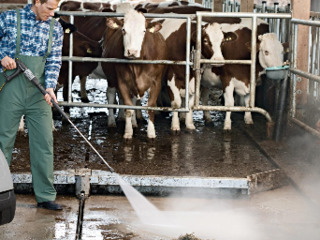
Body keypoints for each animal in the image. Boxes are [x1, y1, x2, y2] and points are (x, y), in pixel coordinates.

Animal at [101, 8, 169, 139]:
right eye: (123, 30)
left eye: (144, 31)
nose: (132, 51)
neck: (136, 66)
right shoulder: (122, 81)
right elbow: (128, 107)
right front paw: (128, 132)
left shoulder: (156, 82)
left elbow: (150, 107)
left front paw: (151, 133)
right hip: (111, 78)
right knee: (110, 95)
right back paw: (111, 122)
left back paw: (133, 123)